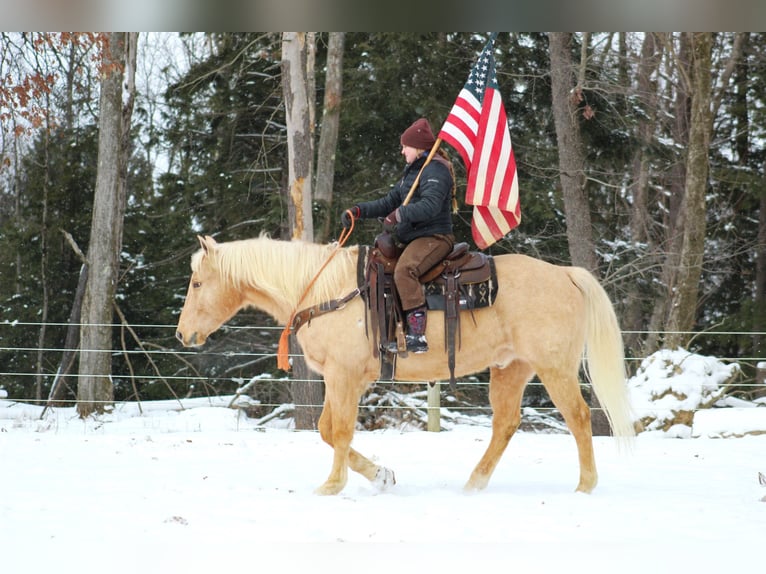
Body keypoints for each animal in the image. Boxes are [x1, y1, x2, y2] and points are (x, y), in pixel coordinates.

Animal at [178, 234, 636, 496]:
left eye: (198, 283)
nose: (183, 334)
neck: (325, 290)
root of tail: (566, 274)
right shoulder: (337, 378)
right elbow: (326, 430)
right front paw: (382, 476)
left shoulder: (344, 376)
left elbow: (339, 431)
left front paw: (332, 485)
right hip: (511, 368)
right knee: (506, 424)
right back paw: (473, 484)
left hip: (554, 367)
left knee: (578, 417)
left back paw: (585, 486)